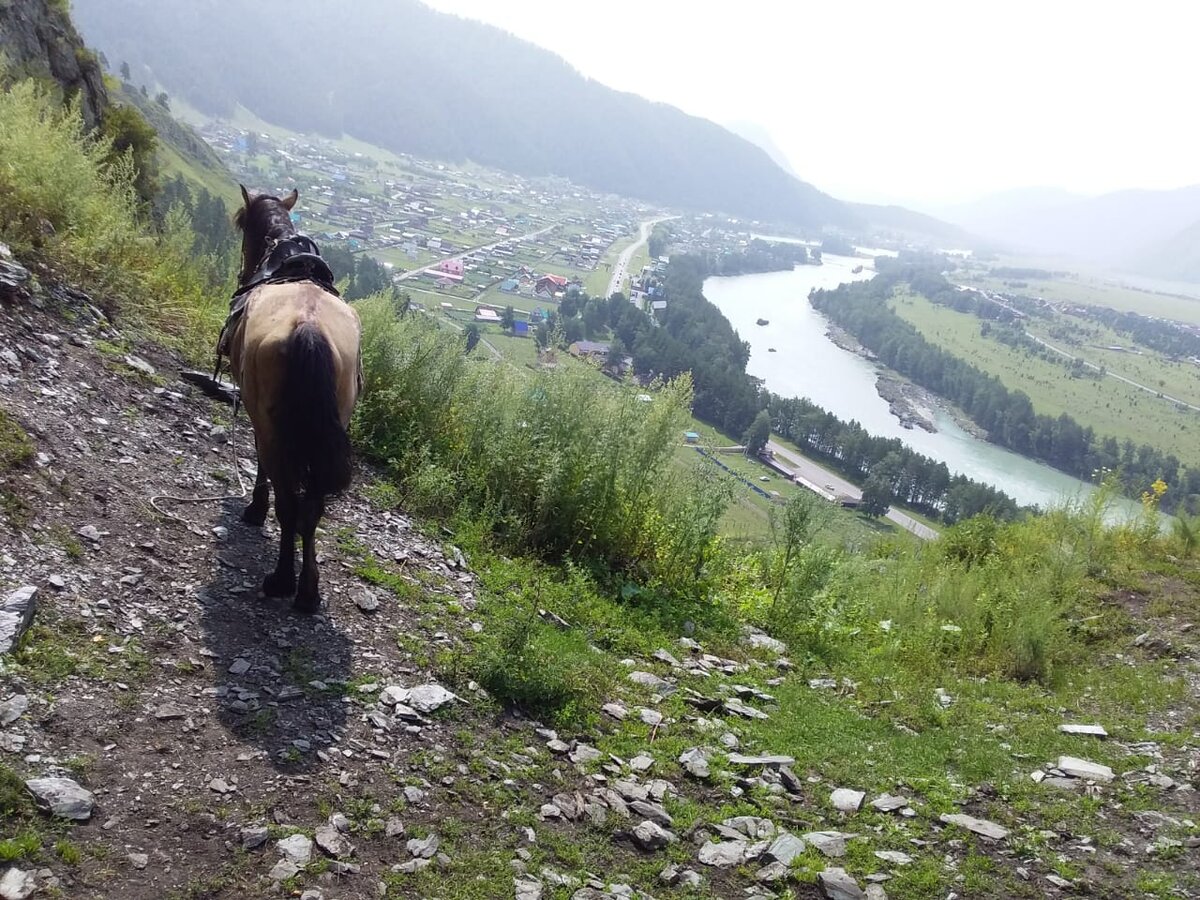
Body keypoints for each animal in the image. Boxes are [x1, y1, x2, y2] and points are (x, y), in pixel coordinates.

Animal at [222, 187, 360, 619]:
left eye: (242, 224)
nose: (241, 275)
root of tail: (309, 327)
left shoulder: (261, 422)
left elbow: (262, 464)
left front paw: (255, 507)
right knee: (311, 510)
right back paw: (307, 591)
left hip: (273, 429)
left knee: (288, 503)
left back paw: (281, 579)